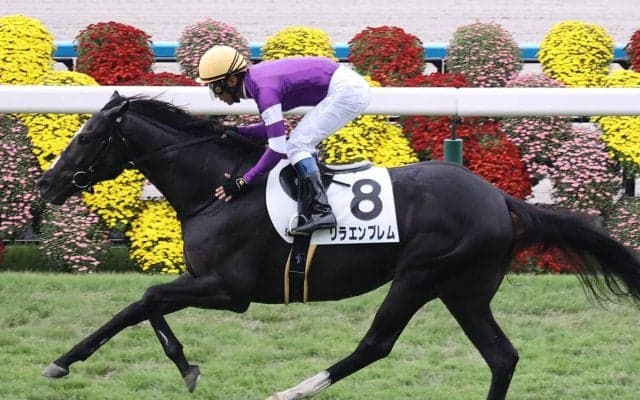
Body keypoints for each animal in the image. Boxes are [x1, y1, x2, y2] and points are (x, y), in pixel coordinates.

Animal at [37, 91, 640, 400]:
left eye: (87, 136)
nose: (46, 184)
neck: (217, 189)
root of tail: (501, 198)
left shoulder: (228, 289)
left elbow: (143, 301)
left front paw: (71, 362)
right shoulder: (207, 284)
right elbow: (142, 305)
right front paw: (174, 365)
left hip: (420, 275)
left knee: (376, 344)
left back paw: (295, 390)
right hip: (463, 289)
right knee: (502, 356)